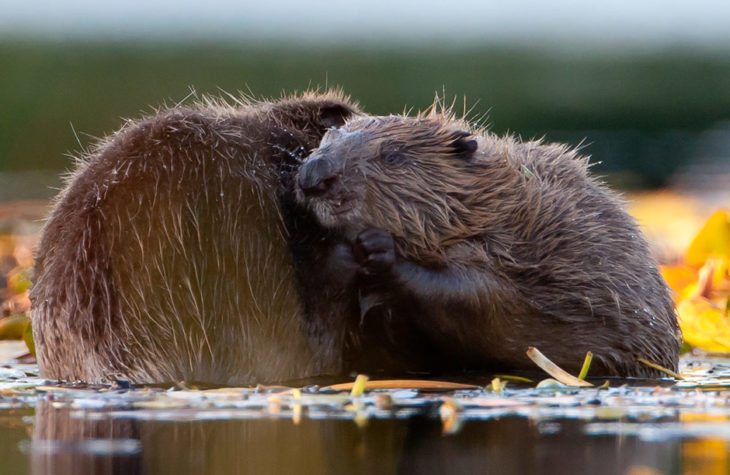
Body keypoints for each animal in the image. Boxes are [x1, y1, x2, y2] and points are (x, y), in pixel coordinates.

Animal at [294, 109, 676, 378]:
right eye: (324, 141)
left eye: (393, 155)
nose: (314, 173)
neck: (490, 204)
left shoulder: (513, 255)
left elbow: (474, 294)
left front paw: (376, 247)